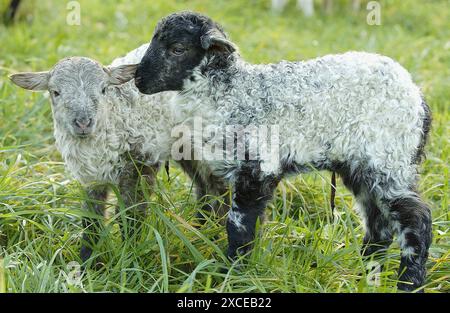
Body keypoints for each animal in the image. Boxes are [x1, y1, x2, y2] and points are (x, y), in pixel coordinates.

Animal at [134, 11, 432, 290]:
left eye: (178, 48)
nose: (138, 80)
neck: (231, 93)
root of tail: (417, 95)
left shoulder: (256, 168)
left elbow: (238, 226)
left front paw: (230, 274)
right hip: (360, 167)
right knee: (378, 226)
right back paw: (364, 275)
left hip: (389, 159)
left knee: (417, 220)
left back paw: (408, 282)